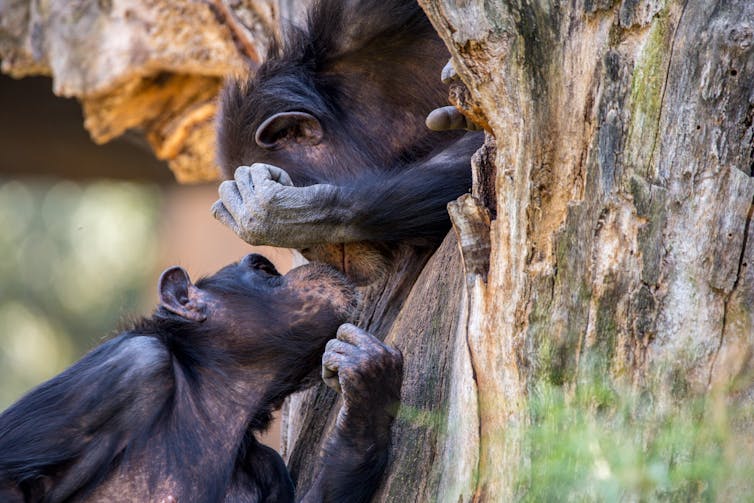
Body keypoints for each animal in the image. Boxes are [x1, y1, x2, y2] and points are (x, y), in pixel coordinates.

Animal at [0, 256, 402, 503]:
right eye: (265, 269)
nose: (278, 270)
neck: (215, 395)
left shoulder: (266, 464)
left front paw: (370, 389)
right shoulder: (127, 369)